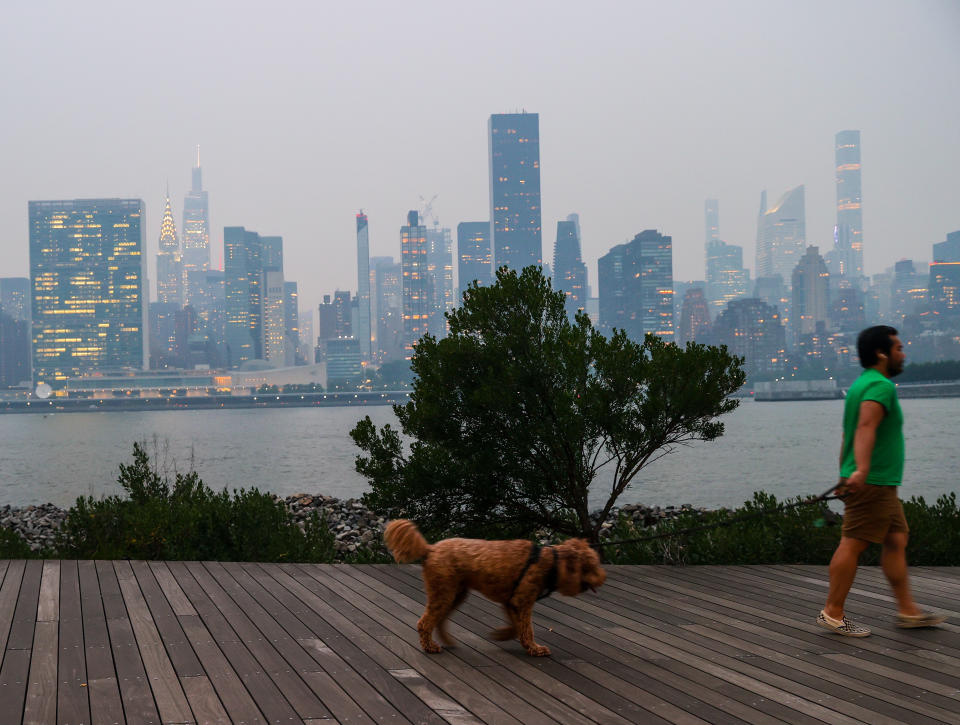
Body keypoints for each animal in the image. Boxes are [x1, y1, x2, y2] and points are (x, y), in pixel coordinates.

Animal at [384, 520, 604, 656]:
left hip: (455, 593)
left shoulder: (511, 603)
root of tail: (430, 549)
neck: (549, 562)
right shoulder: (521, 602)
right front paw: (535, 648)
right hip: (444, 592)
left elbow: (517, 627)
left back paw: (446, 641)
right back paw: (430, 646)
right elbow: (526, 629)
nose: (602, 578)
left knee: (439, 621)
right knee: (425, 623)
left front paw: (502, 635)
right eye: (591, 566)